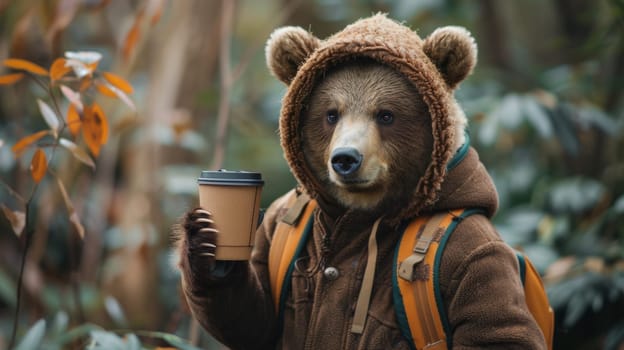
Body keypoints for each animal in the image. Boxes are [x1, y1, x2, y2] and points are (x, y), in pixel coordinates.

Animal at [176, 14, 544, 350]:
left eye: (386, 114)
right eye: (331, 113)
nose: (345, 159)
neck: (361, 215)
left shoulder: (473, 255)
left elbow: (496, 329)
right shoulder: (274, 224)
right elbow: (256, 319)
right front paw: (205, 243)